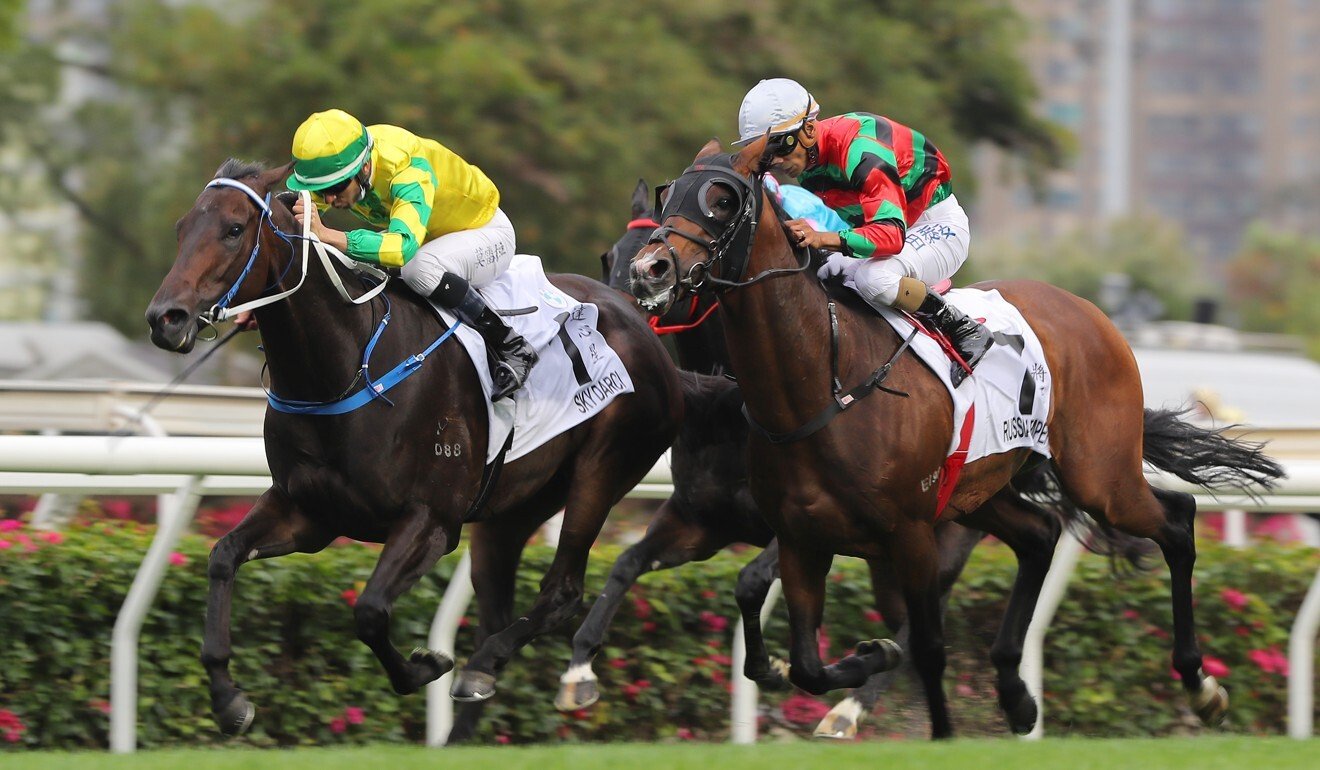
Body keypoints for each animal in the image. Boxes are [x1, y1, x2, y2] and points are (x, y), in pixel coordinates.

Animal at [143, 159, 681, 739]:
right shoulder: (307, 512)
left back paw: (487, 666)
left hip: (599, 474)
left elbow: (370, 610)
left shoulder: (431, 521)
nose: (165, 318)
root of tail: (637, 320)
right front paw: (227, 698)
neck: (349, 366)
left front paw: (426, 665)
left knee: (561, 592)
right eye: (180, 228)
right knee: (501, 604)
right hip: (515, 507)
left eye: (234, 229)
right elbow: (222, 557)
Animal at [559, 180, 992, 739]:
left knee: (917, 623)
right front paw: (579, 668)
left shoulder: (795, 528)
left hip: (939, 532)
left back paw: (849, 708)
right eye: (610, 256)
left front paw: (774, 667)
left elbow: (751, 580)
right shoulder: (701, 520)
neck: (728, 407)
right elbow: (627, 562)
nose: (612, 315)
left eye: (656, 267)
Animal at [628, 141, 1277, 739]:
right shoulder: (800, 537)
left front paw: (920, 717)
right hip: (978, 491)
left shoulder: (910, 533)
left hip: (1099, 475)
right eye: (671, 193)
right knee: (1040, 534)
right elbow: (809, 663)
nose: (649, 269)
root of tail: (1092, 313)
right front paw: (863, 659)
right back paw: (1015, 692)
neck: (818, 384)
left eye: (722, 199)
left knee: (1177, 521)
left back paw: (1201, 686)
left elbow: (928, 648)